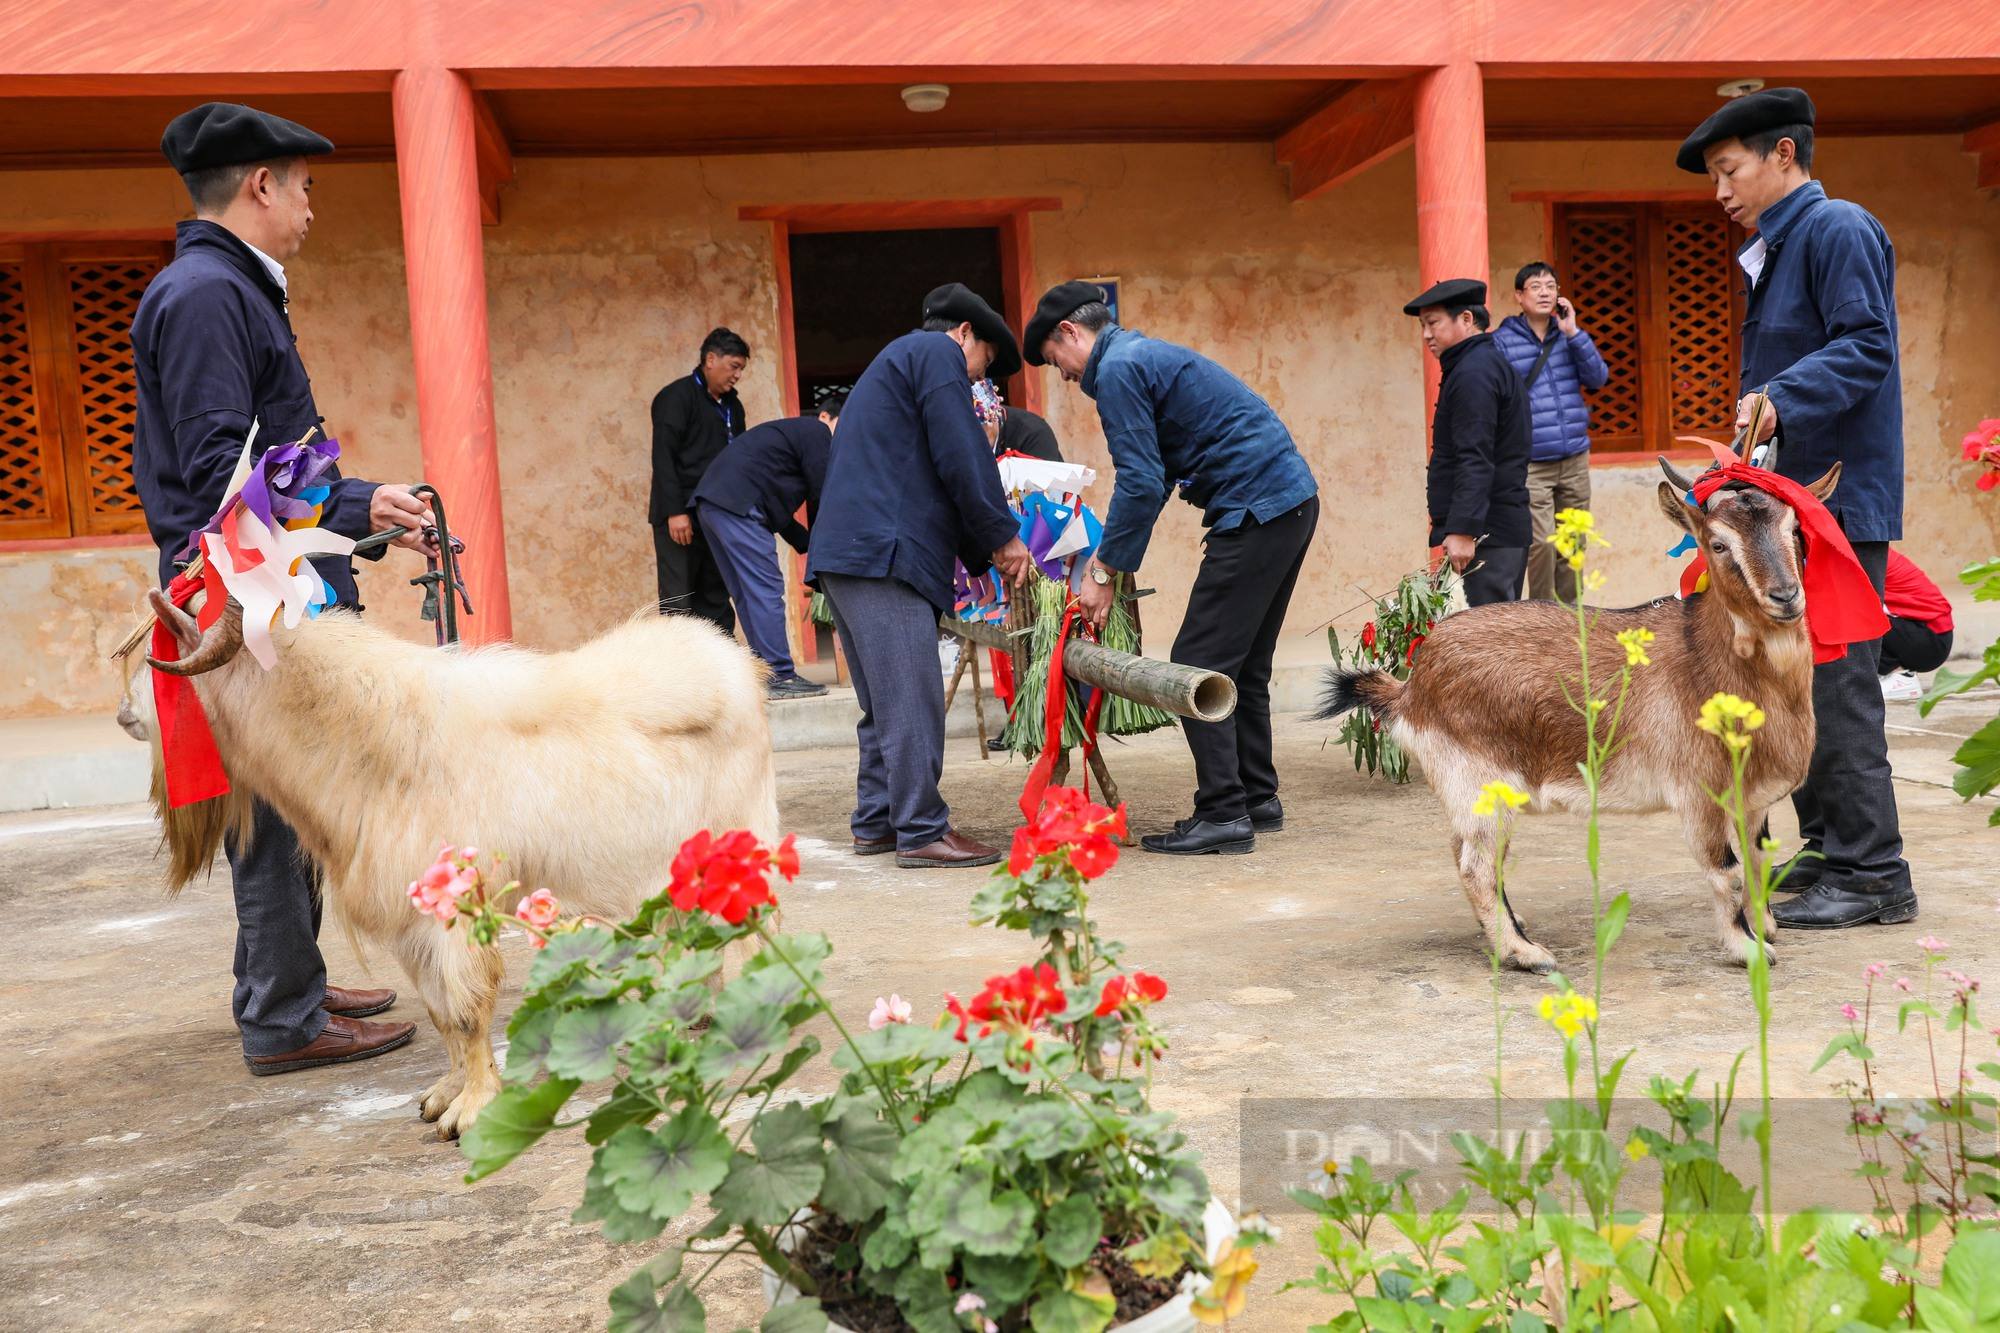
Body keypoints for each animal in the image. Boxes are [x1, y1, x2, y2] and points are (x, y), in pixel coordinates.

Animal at [141, 592, 776, 1128]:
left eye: (159, 663)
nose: (127, 716)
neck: (384, 748)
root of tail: (737, 665)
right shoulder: (412, 923)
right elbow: (440, 1010)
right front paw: (445, 1094)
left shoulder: (460, 909)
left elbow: (468, 1007)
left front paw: (472, 1109)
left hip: (736, 838)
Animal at [1312, 462, 1840, 972]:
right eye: (1718, 544)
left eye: (1796, 530)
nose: (1785, 596)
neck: (1706, 660)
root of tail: (1411, 686)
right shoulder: (1699, 791)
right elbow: (1728, 872)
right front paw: (1748, 950)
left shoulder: (1751, 797)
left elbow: (1758, 862)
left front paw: (1766, 927)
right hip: (1477, 779)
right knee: (1475, 864)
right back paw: (1524, 953)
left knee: (1468, 853)